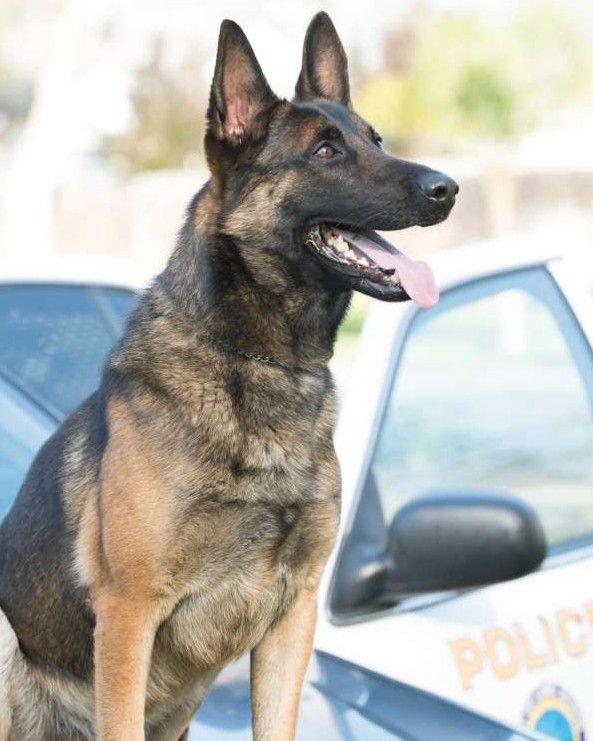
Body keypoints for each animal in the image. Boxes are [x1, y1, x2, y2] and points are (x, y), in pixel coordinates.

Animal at [0, 11, 456, 740]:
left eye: (375, 140)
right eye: (326, 152)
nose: (448, 188)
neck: (260, 362)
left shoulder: (292, 613)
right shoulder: (127, 616)